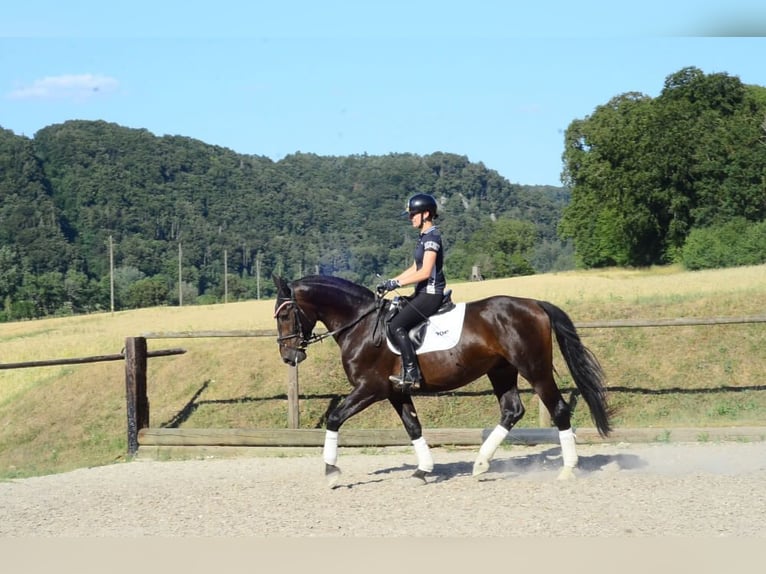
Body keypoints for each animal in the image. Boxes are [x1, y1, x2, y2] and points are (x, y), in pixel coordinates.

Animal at [272, 274, 612, 486]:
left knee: (558, 409)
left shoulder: (369, 388)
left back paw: (567, 470)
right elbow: (413, 427)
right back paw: (480, 464)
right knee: (512, 410)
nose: (289, 357)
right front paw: (423, 470)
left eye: (285, 315)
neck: (361, 325)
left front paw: (331, 471)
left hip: (534, 368)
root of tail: (535, 304)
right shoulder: (395, 391)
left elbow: (335, 417)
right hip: (501, 370)